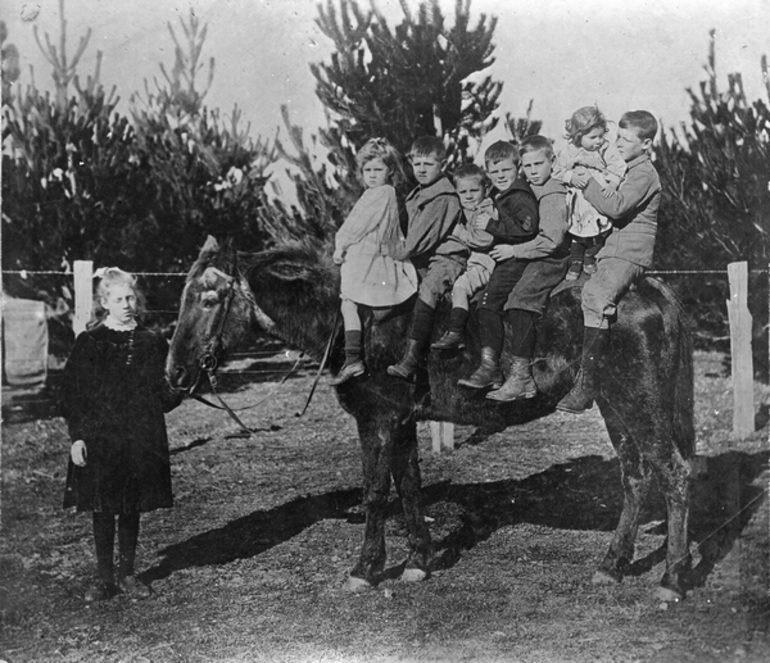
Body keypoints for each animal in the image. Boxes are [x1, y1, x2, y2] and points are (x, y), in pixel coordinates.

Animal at [165, 236, 692, 604]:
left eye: (209, 299)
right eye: (184, 296)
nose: (174, 373)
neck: (357, 320)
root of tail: (653, 287)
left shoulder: (377, 419)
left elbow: (377, 494)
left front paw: (364, 569)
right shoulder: (401, 421)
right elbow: (409, 487)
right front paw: (418, 560)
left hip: (638, 403)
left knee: (673, 475)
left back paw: (671, 579)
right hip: (612, 405)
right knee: (636, 476)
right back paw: (613, 564)